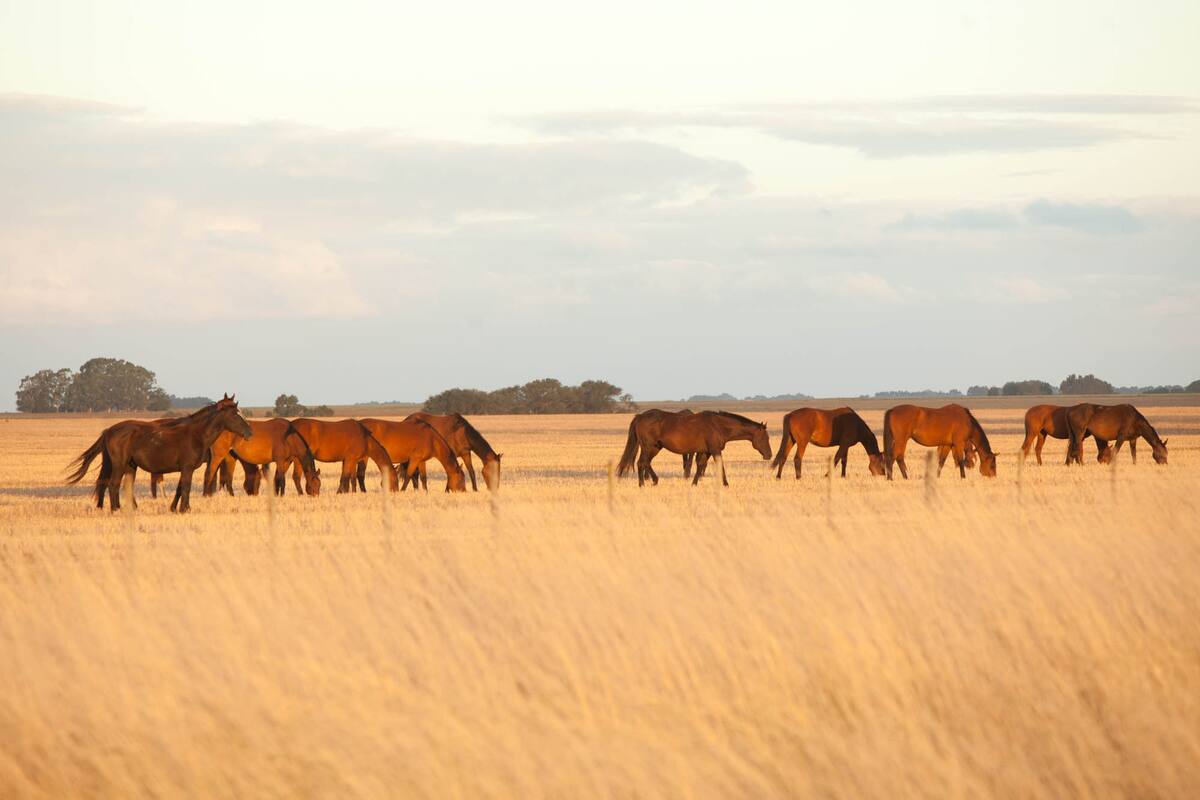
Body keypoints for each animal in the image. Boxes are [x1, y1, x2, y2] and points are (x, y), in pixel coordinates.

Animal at [66, 396, 252, 512]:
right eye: (234, 414)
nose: (249, 432)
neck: (196, 434)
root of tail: (109, 431)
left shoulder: (185, 469)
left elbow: (179, 488)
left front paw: (175, 508)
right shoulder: (187, 468)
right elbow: (186, 488)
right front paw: (185, 509)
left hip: (130, 466)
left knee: (124, 486)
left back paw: (131, 509)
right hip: (119, 465)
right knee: (113, 485)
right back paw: (116, 509)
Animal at [617, 410, 771, 487]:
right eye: (766, 438)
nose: (769, 455)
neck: (719, 425)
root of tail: (640, 416)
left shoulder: (706, 451)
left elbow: (700, 466)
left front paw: (694, 483)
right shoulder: (715, 450)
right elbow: (720, 465)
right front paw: (726, 484)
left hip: (655, 447)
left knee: (645, 463)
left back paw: (653, 481)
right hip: (648, 447)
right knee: (641, 463)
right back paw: (644, 484)